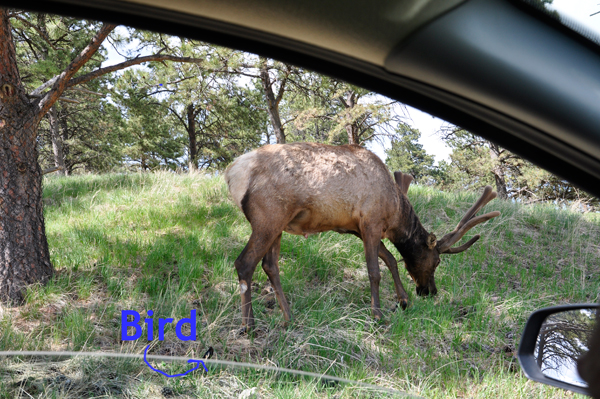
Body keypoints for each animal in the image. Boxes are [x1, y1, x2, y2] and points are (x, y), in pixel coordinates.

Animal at [224, 142, 496, 330]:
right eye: (437, 260)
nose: (430, 291)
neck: (395, 210)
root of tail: (232, 173)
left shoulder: (356, 228)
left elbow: (391, 260)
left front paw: (403, 300)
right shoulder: (371, 222)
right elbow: (375, 271)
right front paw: (378, 314)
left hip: (280, 224)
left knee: (270, 265)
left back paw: (288, 318)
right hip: (268, 217)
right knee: (244, 263)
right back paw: (248, 325)